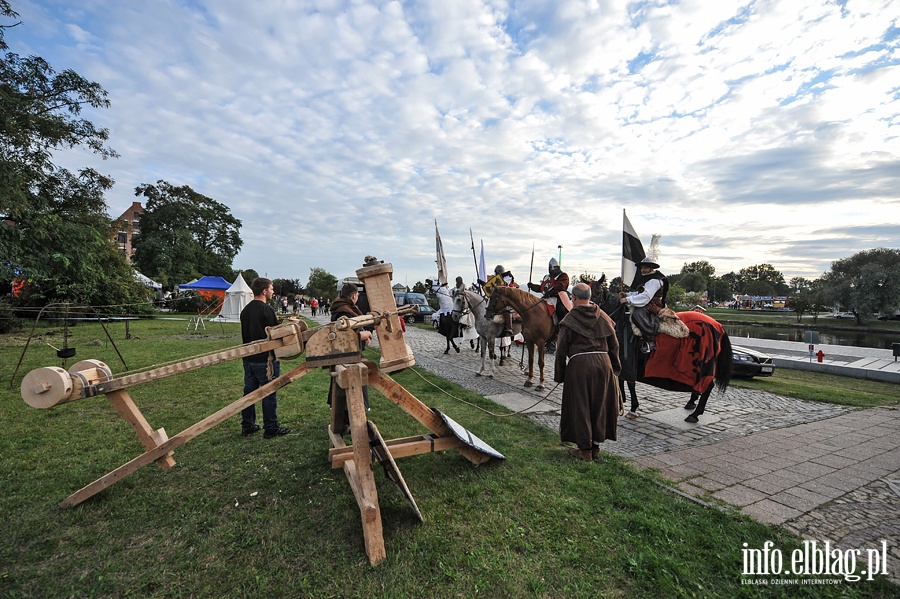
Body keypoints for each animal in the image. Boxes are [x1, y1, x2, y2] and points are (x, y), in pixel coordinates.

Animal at [592, 278, 732, 424]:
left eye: (597, 291)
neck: (619, 321)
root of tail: (717, 325)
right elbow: (621, 381)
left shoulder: (628, 362)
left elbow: (630, 383)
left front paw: (632, 408)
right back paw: (691, 403)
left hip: (703, 366)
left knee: (707, 386)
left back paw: (695, 414)